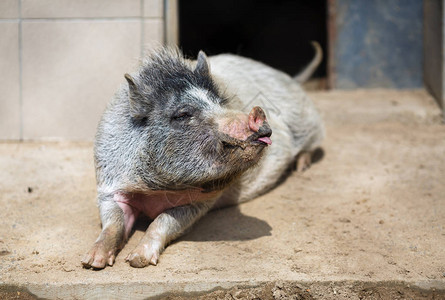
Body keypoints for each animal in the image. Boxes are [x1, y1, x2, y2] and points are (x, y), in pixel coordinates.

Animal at [80, 45, 322, 270]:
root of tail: (288, 77)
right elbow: (114, 222)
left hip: (308, 121)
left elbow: (162, 221)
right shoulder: (108, 186)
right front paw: (91, 263)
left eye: (219, 103)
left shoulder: (199, 203)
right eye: (183, 114)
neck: (155, 190)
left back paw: (301, 167)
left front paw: (138, 260)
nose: (258, 115)